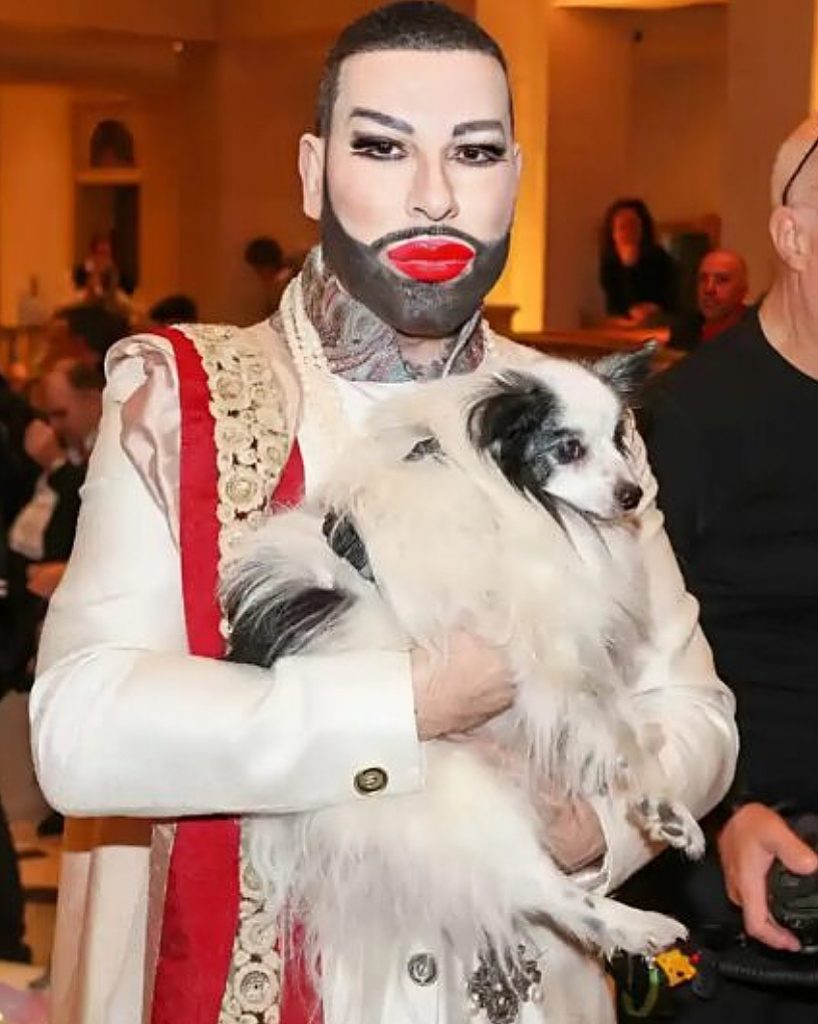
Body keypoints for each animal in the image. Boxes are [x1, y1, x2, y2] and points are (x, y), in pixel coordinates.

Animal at [221, 347, 704, 985]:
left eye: (618, 441)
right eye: (568, 448)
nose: (632, 495)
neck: (504, 491)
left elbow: (627, 730)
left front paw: (664, 809)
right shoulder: (549, 648)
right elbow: (614, 728)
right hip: (461, 792)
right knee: (541, 887)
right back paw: (636, 926)